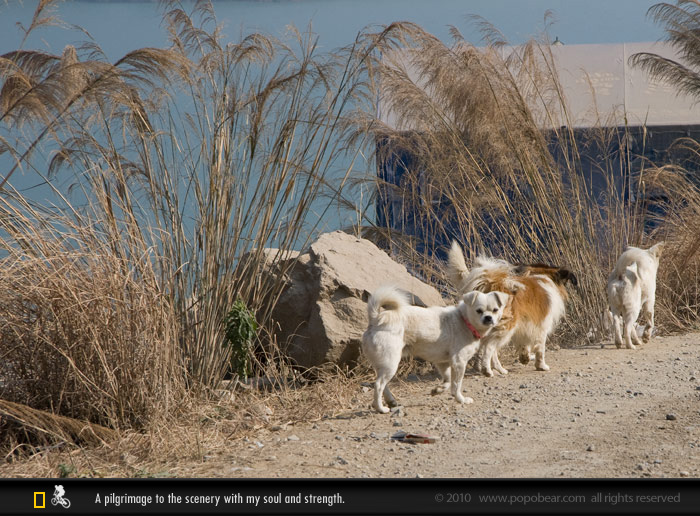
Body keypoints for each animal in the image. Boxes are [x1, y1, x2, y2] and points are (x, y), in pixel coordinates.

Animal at [360, 284, 508, 414]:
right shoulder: (459, 362)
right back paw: (380, 408)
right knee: (378, 385)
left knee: (382, 384)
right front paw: (461, 400)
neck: (464, 320)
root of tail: (376, 319)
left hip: (384, 364)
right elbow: (456, 384)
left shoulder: (443, 363)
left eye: (495, 310)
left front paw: (438, 390)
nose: (488, 318)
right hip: (391, 363)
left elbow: (448, 381)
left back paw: (391, 401)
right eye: (479, 311)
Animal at [448, 240, 576, 376]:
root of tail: (491, 284)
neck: (544, 276)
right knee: (489, 348)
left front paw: (525, 357)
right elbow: (540, 348)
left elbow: (525, 344)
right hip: (505, 326)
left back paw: (495, 369)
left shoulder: (526, 325)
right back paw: (487, 370)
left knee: (489, 348)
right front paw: (541, 366)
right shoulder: (541, 326)